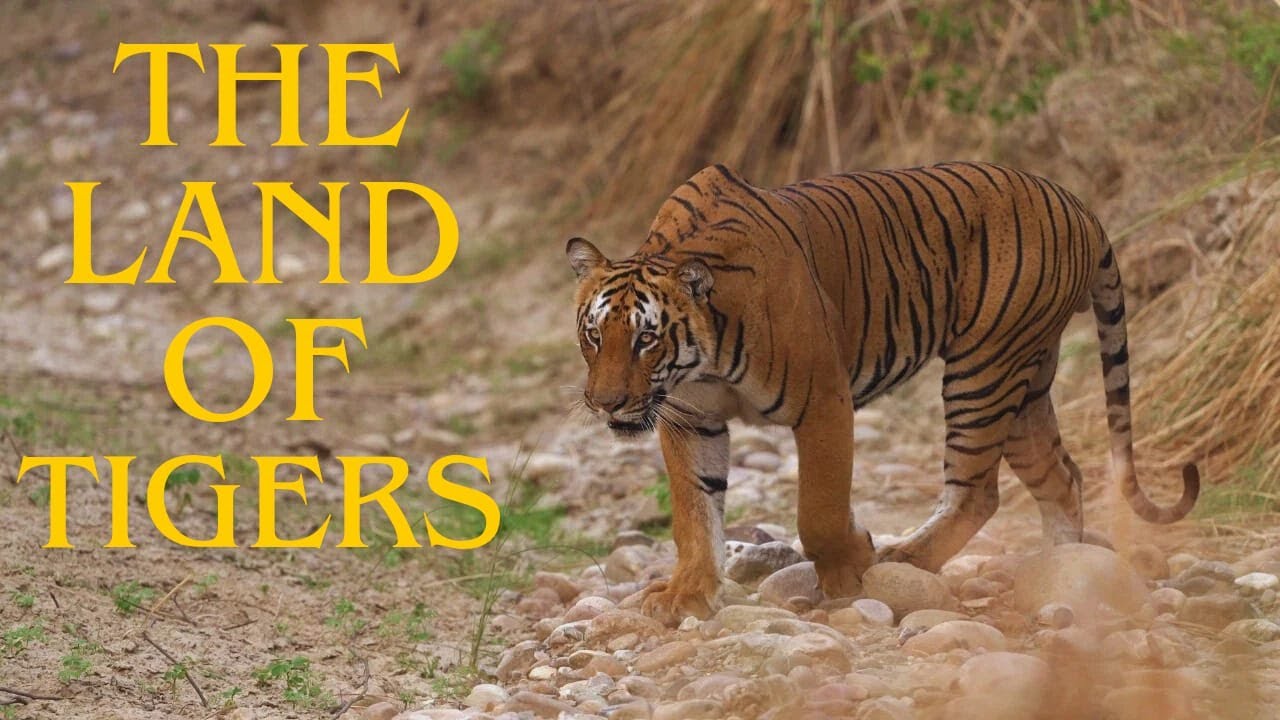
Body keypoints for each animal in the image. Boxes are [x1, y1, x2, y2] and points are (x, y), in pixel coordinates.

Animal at [567, 161, 1199, 623]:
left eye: (647, 339)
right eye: (594, 336)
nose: (606, 403)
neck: (702, 360)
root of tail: (1078, 204)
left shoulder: (823, 400)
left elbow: (818, 509)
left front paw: (851, 571)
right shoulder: (689, 419)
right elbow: (695, 515)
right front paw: (686, 594)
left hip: (983, 369)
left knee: (978, 490)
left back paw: (906, 558)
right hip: (1026, 383)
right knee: (1061, 475)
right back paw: (1057, 570)